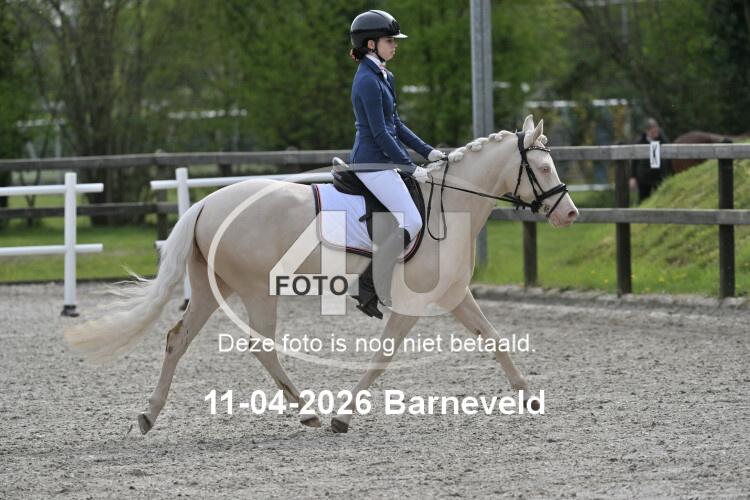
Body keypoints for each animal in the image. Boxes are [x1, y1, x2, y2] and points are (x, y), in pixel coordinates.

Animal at [65, 115, 578, 434]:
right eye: (542, 166)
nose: (570, 213)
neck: (449, 205)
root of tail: (206, 203)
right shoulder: (412, 304)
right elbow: (382, 358)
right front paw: (343, 417)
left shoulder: (454, 294)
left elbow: (493, 338)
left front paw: (529, 398)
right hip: (257, 288)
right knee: (260, 346)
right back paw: (308, 412)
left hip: (215, 288)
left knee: (178, 339)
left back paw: (149, 415)